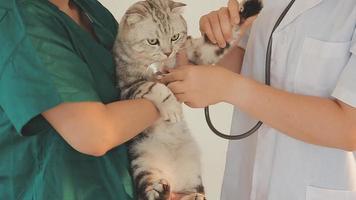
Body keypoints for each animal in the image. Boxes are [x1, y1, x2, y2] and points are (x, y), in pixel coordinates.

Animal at [113, 0, 262, 199]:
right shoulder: (129, 88)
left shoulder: (195, 52)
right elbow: (155, 87)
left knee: (192, 192)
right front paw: (172, 108)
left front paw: (246, 10)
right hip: (143, 163)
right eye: (153, 41)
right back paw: (160, 191)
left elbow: (215, 43)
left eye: (175, 37)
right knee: (148, 192)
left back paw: (193, 195)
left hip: (193, 173)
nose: (168, 52)